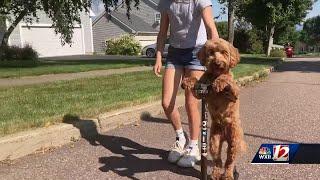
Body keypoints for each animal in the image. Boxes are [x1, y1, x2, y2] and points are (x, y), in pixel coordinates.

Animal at [182, 38, 245, 179]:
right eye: (210, 52)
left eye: (224, 52)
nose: (217, 63)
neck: (214, 76)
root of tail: (225, 136)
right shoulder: (200, 93)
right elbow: (196, 83)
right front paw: (189, 80)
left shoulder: (234, 94)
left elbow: (227, 79)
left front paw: (220, 82)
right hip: (214, 142)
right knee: (218, 160)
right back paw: (216, 173)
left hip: (234, 142)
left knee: (229, 162)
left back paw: (228, 175)